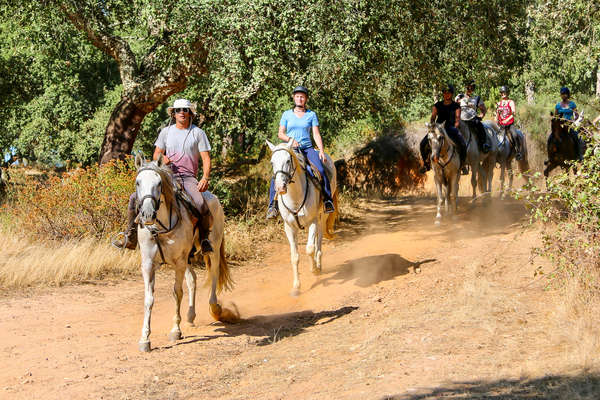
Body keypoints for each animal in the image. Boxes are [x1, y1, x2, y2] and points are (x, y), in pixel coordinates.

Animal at [134, 155, 234, 352]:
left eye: (158, 183)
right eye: (138, 182)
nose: (147, 214)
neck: (160, 229)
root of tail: (212, 196)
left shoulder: (178, 263)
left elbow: (177, 293)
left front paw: (175, 331)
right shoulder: (148, 264)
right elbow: (149, 299)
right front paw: (145, 339)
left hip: (213, 248)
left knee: (214, 273)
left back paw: (215, 308)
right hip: (188, 257)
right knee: (192, 279)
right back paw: (190, 315)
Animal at [266, 141, 338, 296]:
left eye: (288, 160)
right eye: (272, 162)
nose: (280, 187)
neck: (295, 197)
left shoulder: (312, 222)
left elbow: (309, 249)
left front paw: (314, 269)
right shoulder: (289, 228)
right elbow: (294, 257)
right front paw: (296, 287)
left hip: (322, 216)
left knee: (319, 238)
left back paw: (318, 264)